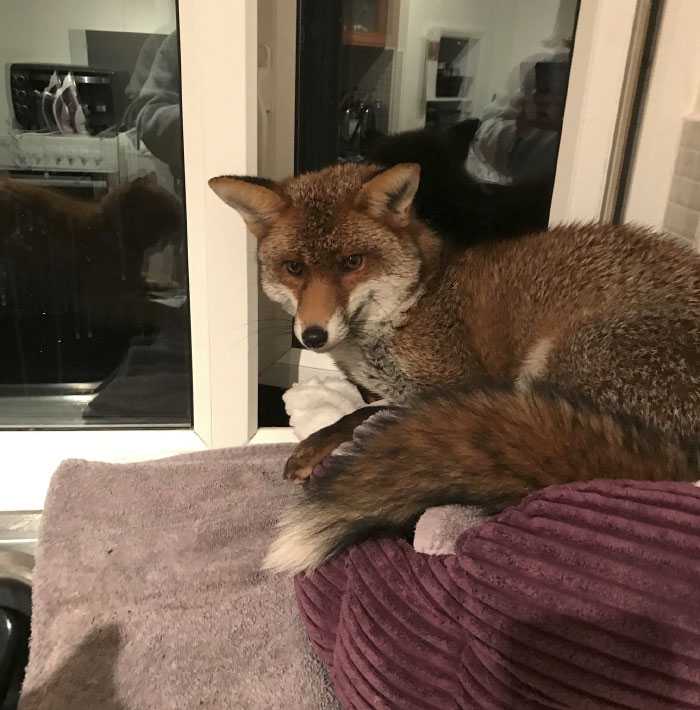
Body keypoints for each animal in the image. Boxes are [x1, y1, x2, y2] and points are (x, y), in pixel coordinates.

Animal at [209, 163, 700, 580]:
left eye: (353, 262)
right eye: (294, 268)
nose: (312, 336)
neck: (412, 304)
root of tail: (676, 462)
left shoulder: (458, 381)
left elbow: (361, 414)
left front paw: (314, 445)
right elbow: (363, 403)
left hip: (553, 361)